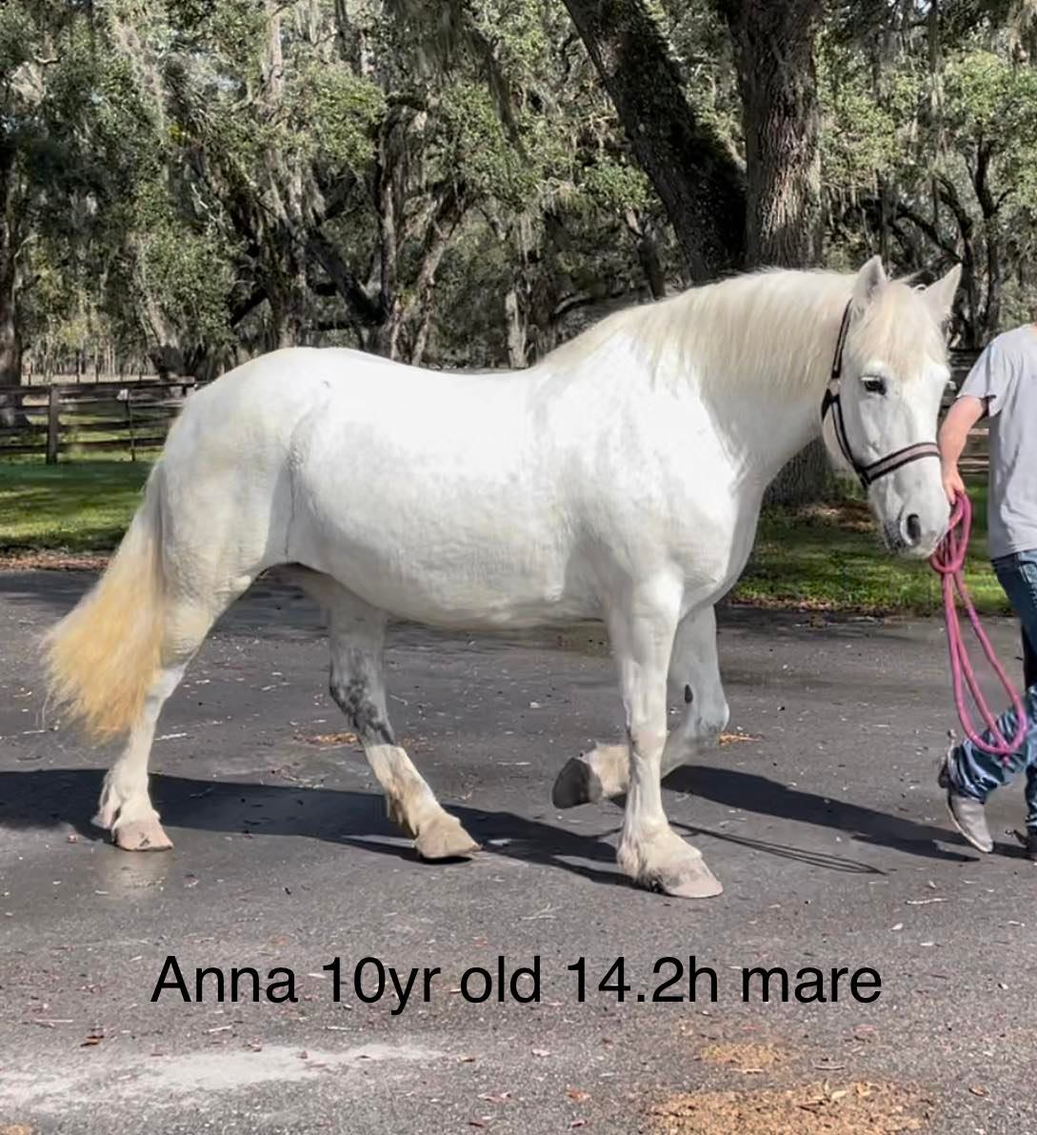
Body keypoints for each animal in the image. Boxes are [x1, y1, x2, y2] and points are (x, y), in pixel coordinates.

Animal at [44, 255, 961, 899]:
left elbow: (703, 720)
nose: (928, 523)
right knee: (156, 683)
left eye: (942, 383)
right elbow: (647, 724)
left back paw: (434, 825)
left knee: (357, 697)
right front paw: (658, 854)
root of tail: (201, 404)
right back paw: (132, 818)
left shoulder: (692, 607)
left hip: (350, 591)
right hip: (205, 584)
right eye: (872, 380)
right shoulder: (643, 607)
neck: (693, 417)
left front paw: (586, 779)